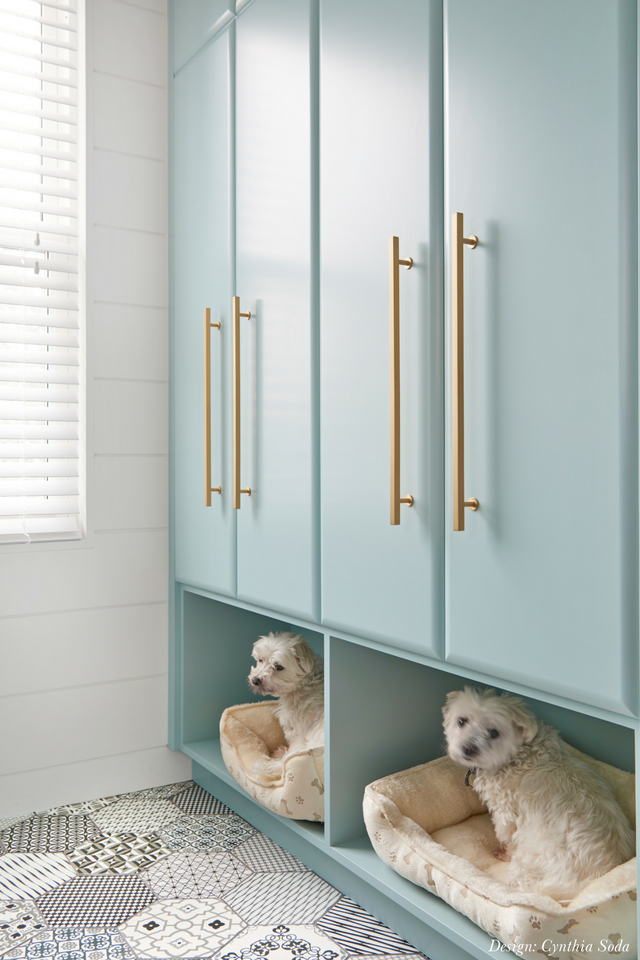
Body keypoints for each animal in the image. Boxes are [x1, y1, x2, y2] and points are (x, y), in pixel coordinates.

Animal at [442, 687, 635, 900]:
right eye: (461, 721)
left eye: (494, 732)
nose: (468, 748)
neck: (516, 754)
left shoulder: (506, 811)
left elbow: (505, 834)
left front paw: (503, 851)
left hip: (529, 860)